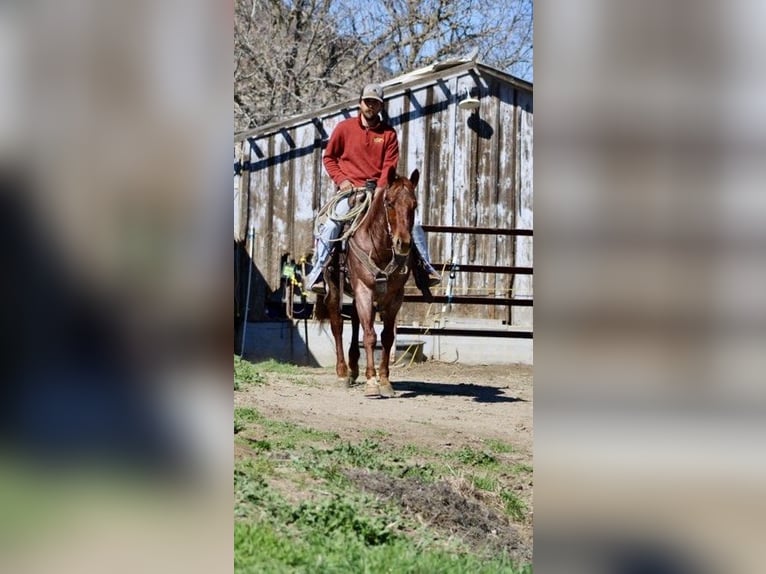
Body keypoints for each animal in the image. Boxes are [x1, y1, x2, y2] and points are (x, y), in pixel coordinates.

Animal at [314, 169, 420, 398]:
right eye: (389, 203)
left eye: (414, 205)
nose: (403, 243)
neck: (380, 247)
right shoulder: (364, 289)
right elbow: (370, 335)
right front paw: (372, 382)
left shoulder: (395, 296)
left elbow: (387, 337)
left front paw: (385, 381)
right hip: (334, 287)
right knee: (338, 325)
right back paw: (343, 373)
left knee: (355, 321)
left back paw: (354, 369)